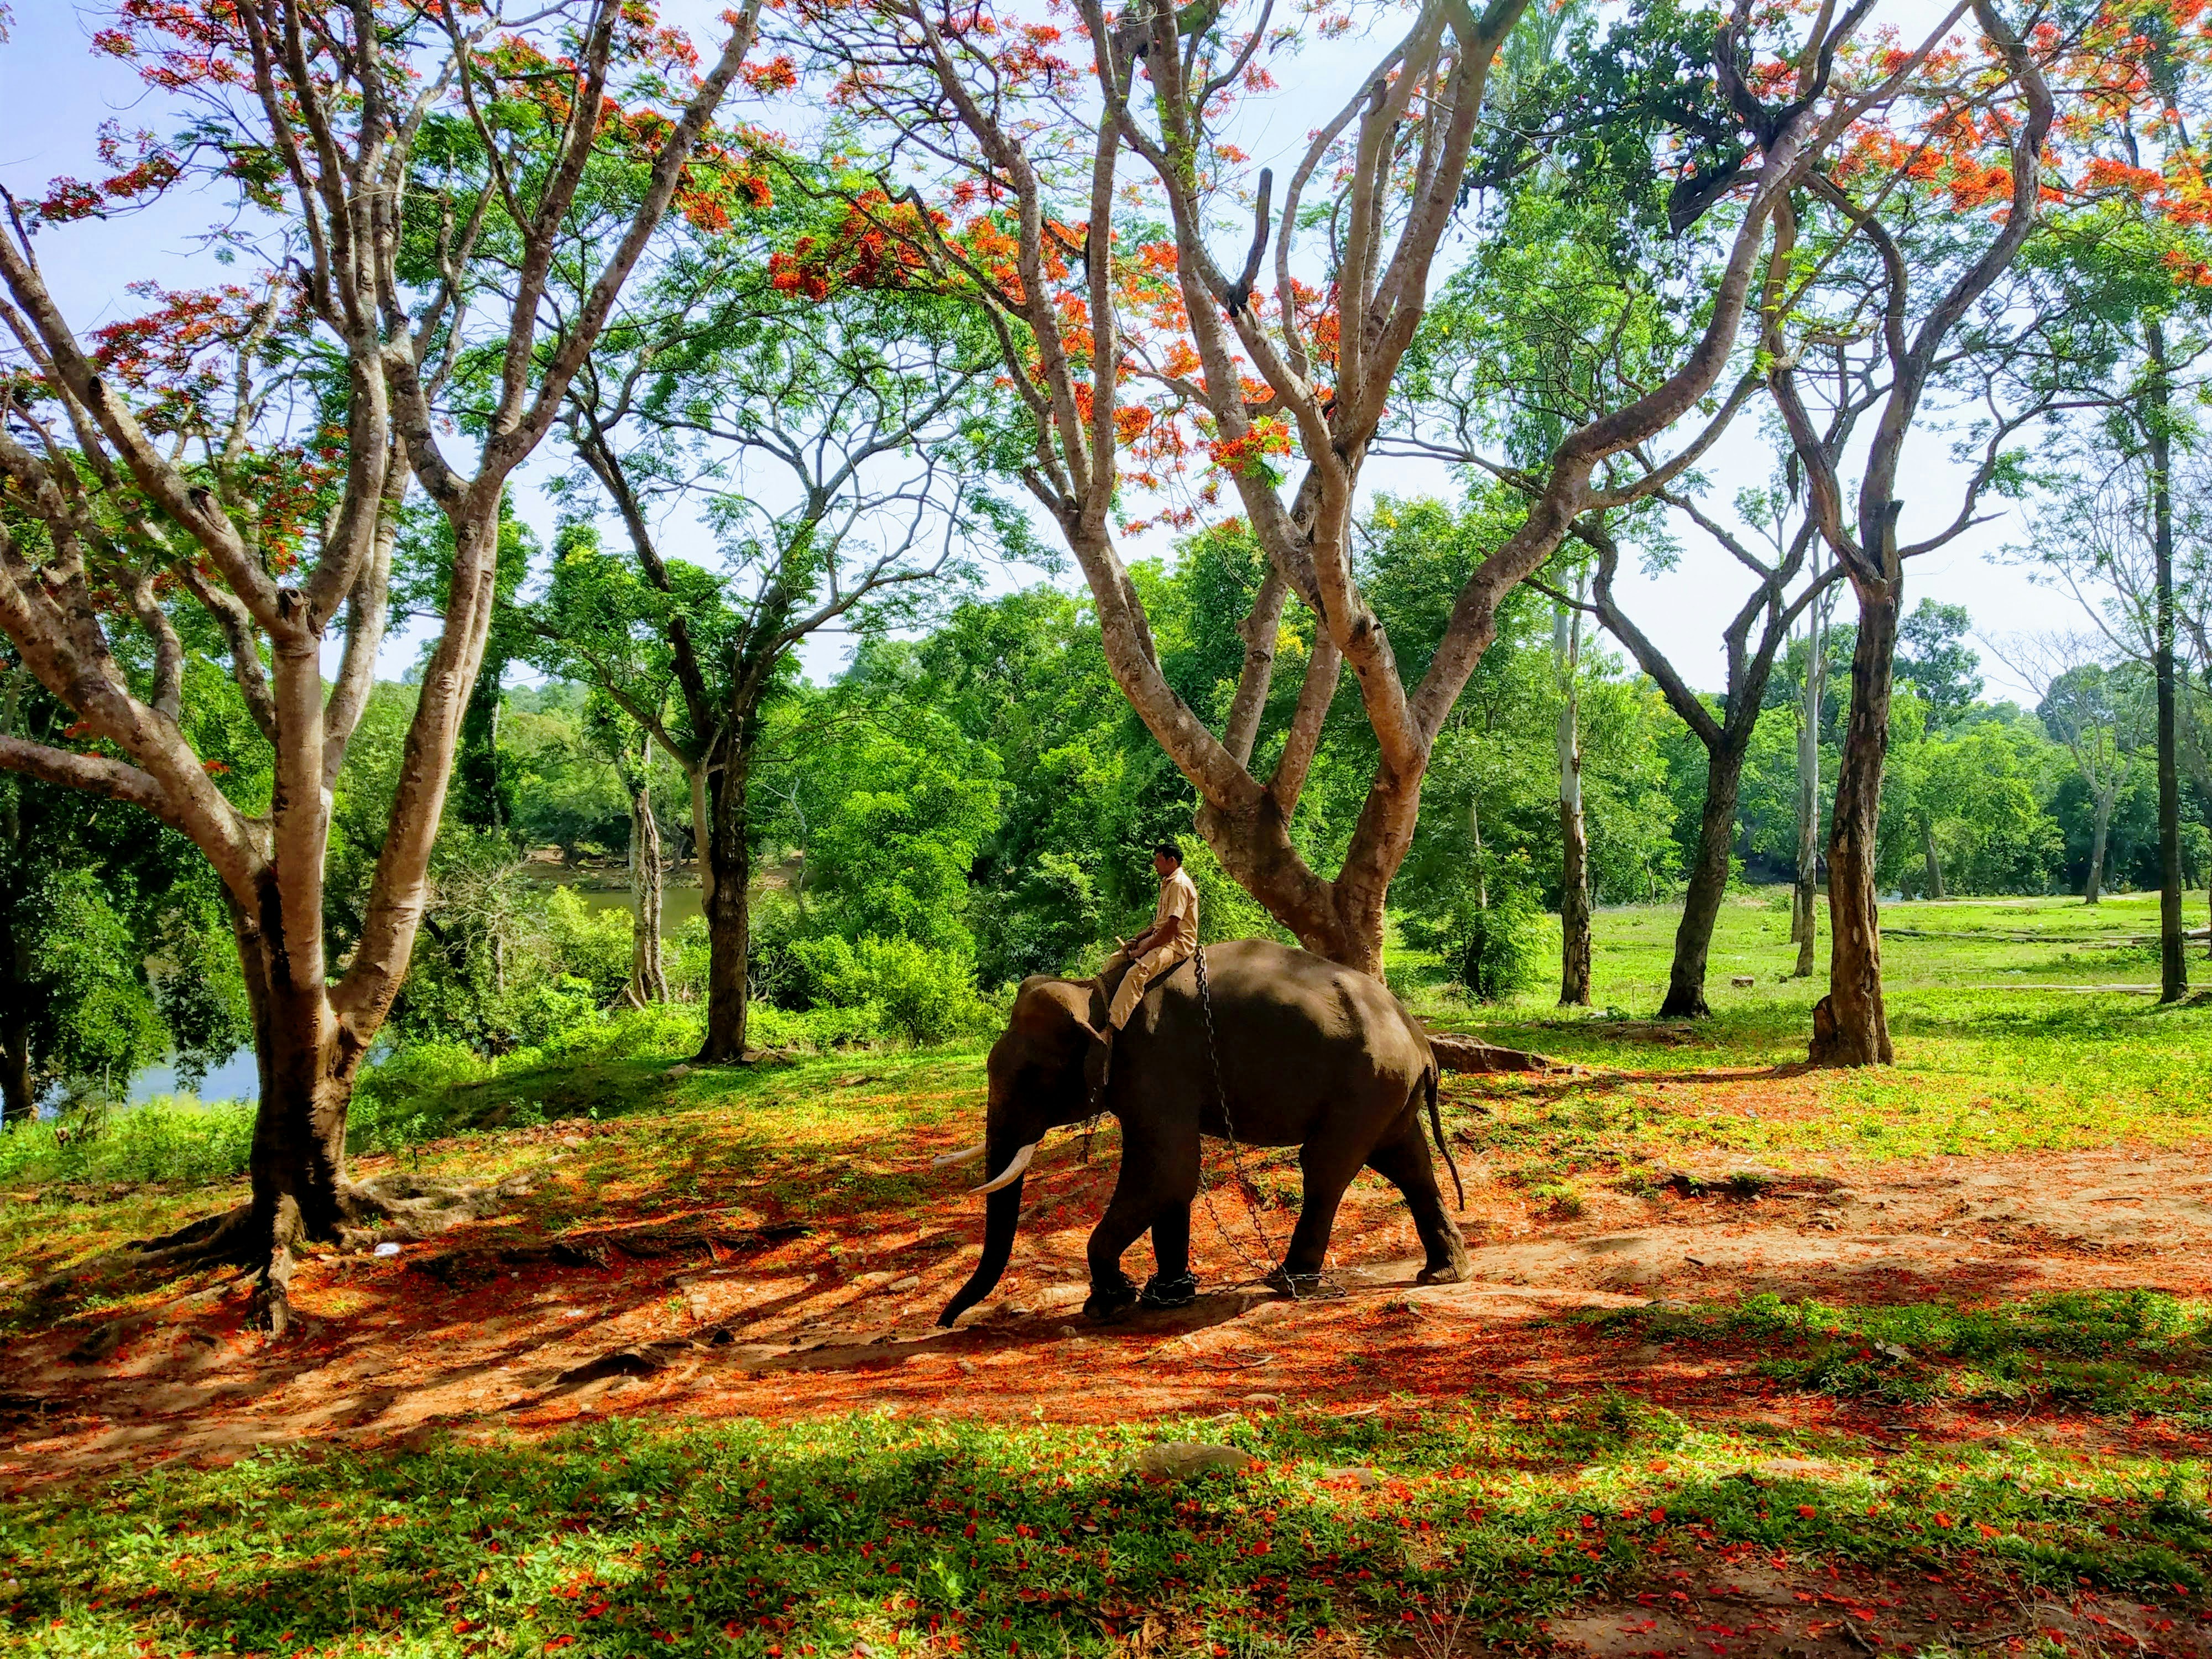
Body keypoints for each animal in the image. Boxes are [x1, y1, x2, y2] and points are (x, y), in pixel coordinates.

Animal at [933, 938, 1470, 1327]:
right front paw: (1166, 1296)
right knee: (1408, 1163)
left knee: (1326, 1168)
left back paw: (1287, 1281)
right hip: (1387, 1092)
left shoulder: (1155, 1063)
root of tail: (1422, 1040)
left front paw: (1111, 1302)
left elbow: (1166, 1172)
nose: (947, 1322)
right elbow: (1171, 1183)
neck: (1096, 992)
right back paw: (1443, 1272)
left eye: (1030, 1076)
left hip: (1365, 1087)